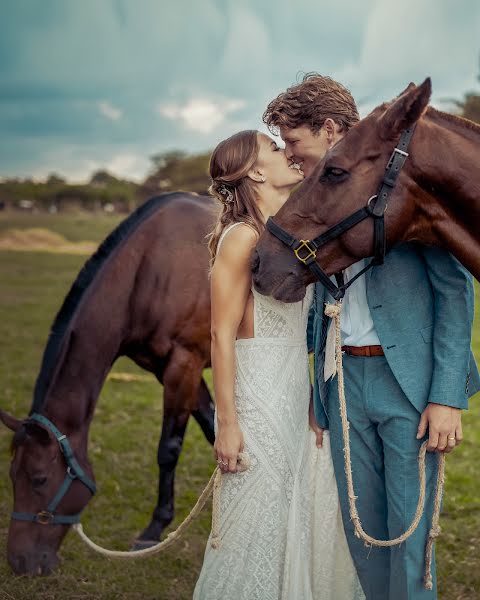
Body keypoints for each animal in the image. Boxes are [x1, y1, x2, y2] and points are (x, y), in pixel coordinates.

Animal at [0, 193, 218, 576]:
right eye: (12, 475)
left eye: (39, 478)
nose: (20, 563)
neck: (152, 264)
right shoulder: (168, 368)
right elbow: (212, 428)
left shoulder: (185, 364)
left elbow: (169, 448)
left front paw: (154, 529)